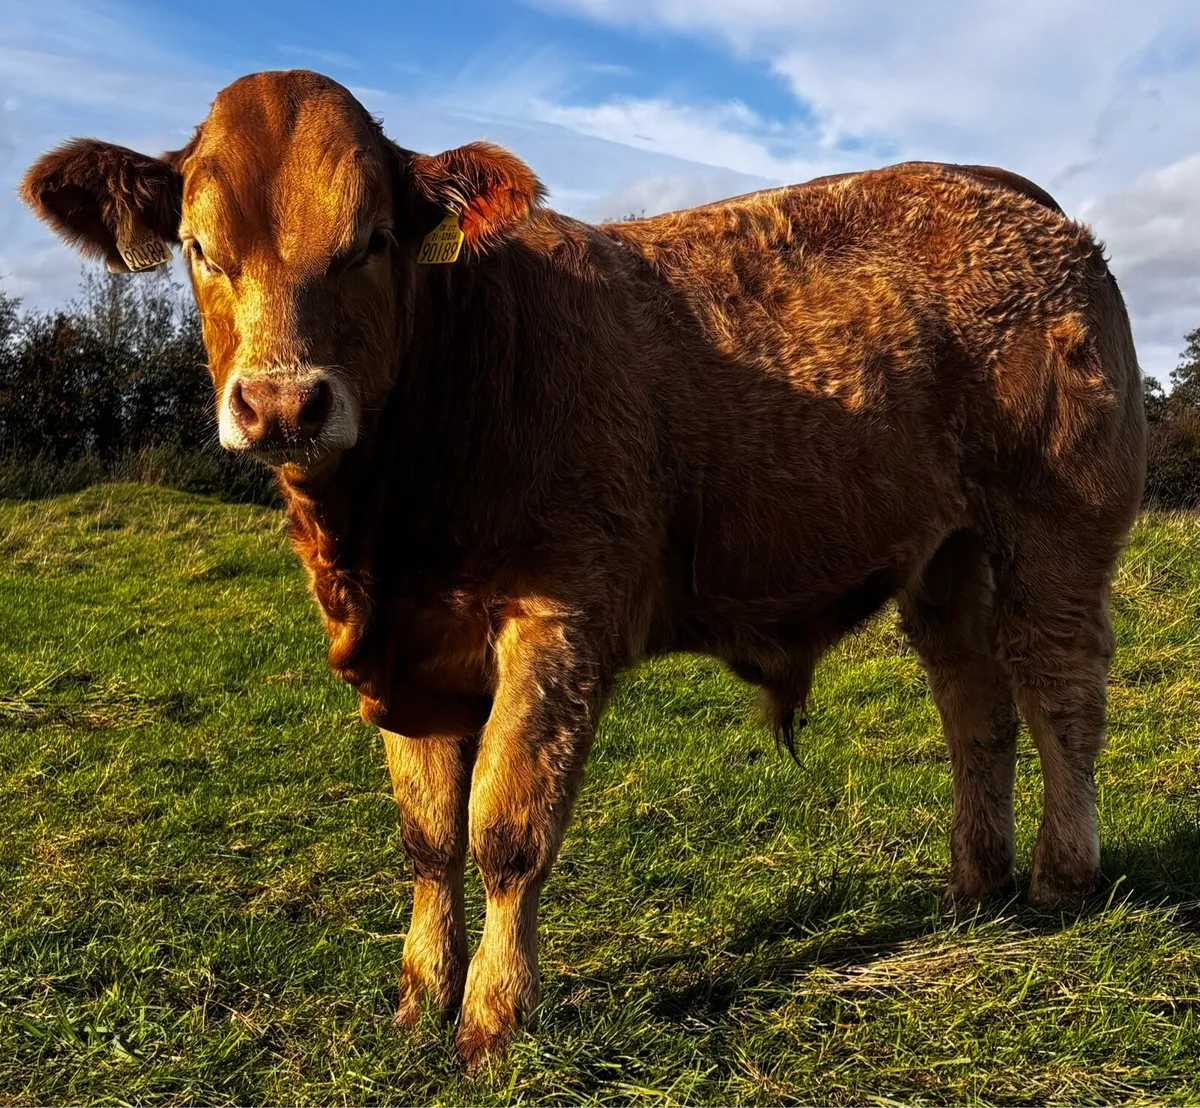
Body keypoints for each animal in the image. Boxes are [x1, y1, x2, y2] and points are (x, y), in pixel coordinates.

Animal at [21, 69, 1146, 1068]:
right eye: (200, 249)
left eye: (370, 242)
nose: (284, 401)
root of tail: (1001, 190)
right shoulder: (414, 662)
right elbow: (428, 835)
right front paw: (420, 996)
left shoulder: (559, 619)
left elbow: (507, 830)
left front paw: (492, 1021)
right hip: (945, 557)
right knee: (975, 708)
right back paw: (975, 883)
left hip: (1055, 528)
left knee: (1060, 693)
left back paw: (1061, 875)